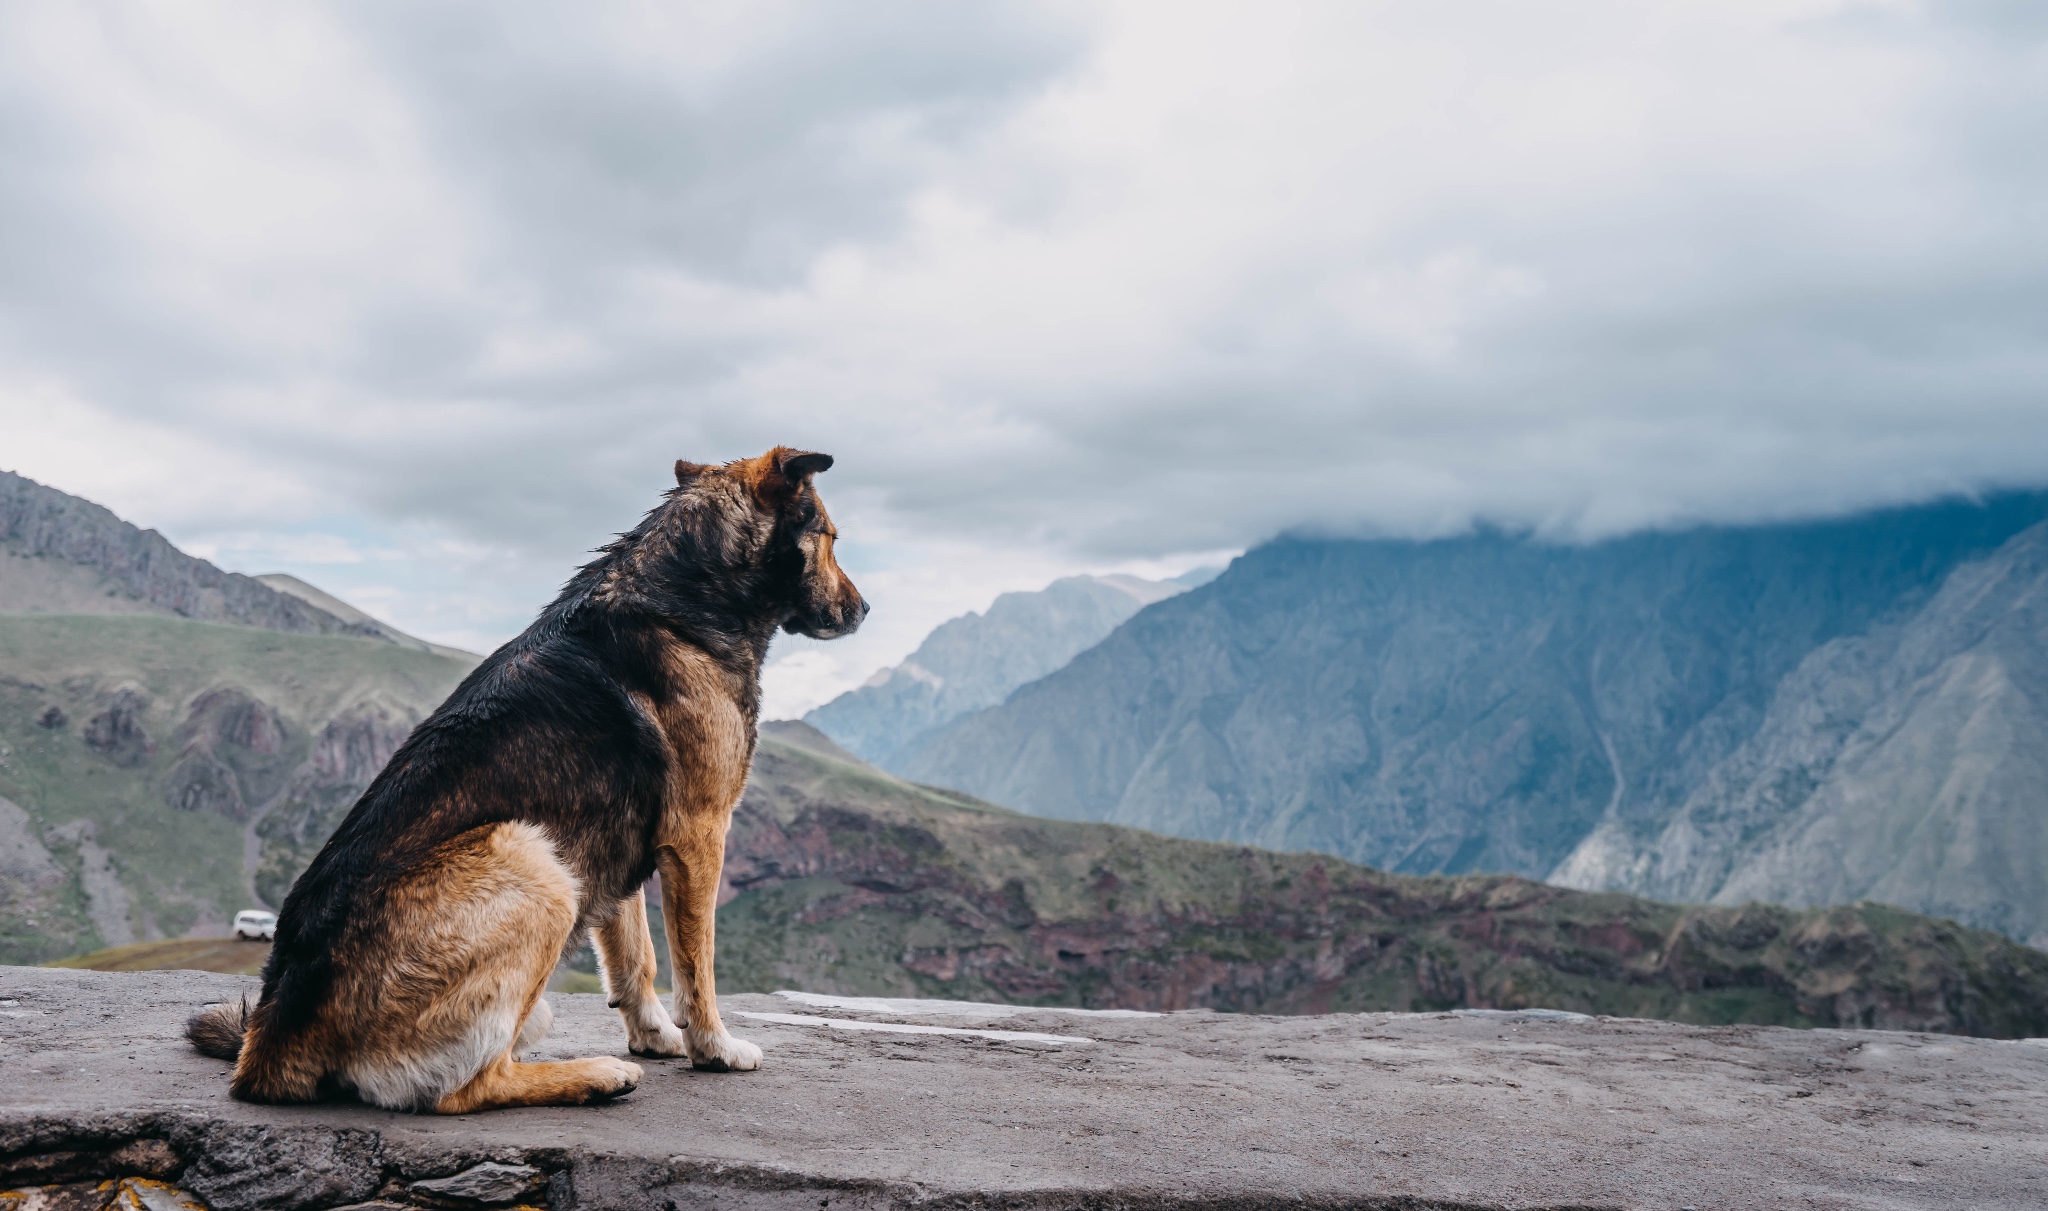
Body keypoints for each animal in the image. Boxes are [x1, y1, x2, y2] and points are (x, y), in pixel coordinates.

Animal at [184, 450, 864, 1114]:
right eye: (830, 537)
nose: (863, 610)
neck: (687, 593)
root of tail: (270, 1038)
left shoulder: (619, 845)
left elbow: (635, 957)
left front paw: (654, 1035)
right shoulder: (697, 835)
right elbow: (697, 964)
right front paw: (714, 1047)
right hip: (535, 862)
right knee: (464, 1088)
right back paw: (595, 1075)